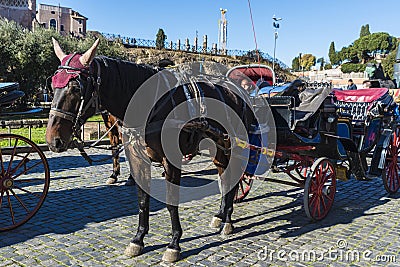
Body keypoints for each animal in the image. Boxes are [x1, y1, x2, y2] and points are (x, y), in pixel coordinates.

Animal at [45, 38, 255, 262]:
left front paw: (174, 243)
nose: (52, 139)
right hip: (218, 147)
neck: (148, 106)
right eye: (52, 84)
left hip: (235, 145)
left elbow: (171, 202)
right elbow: (142, 200)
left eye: (76, 87)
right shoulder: (137, 159)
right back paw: (220, 215)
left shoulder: (171, 161)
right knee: (225, 176)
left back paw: (228, 220)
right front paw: (138, 239)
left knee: (234, 177)